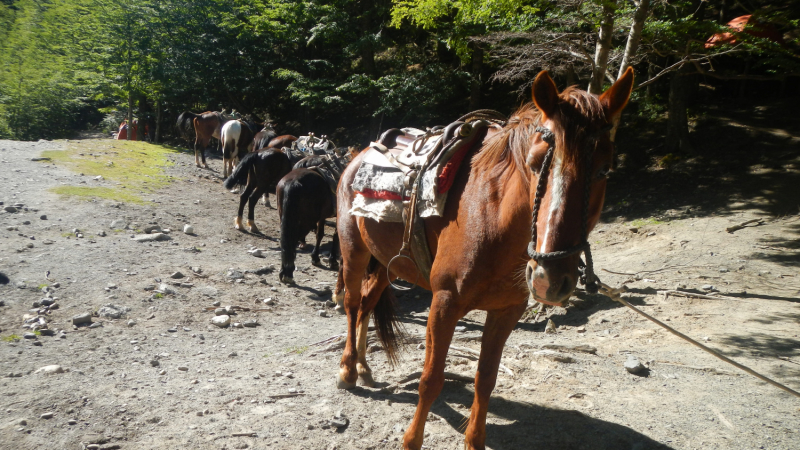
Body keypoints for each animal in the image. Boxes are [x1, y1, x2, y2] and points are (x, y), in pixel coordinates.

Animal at [334, 69, 636, 450]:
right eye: (534, 164)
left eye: (604, 171)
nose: (549, 278)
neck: (493, 220)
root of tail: (358, 155)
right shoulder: (444, 303)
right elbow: (431, 379)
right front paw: (411, 440)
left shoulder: (507, 311)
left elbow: (486, 379)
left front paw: (474, 440)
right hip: (354, 251)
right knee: (351, 302)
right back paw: (347, 369)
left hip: (389, 263)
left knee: (368, 301)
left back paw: (362, 366)